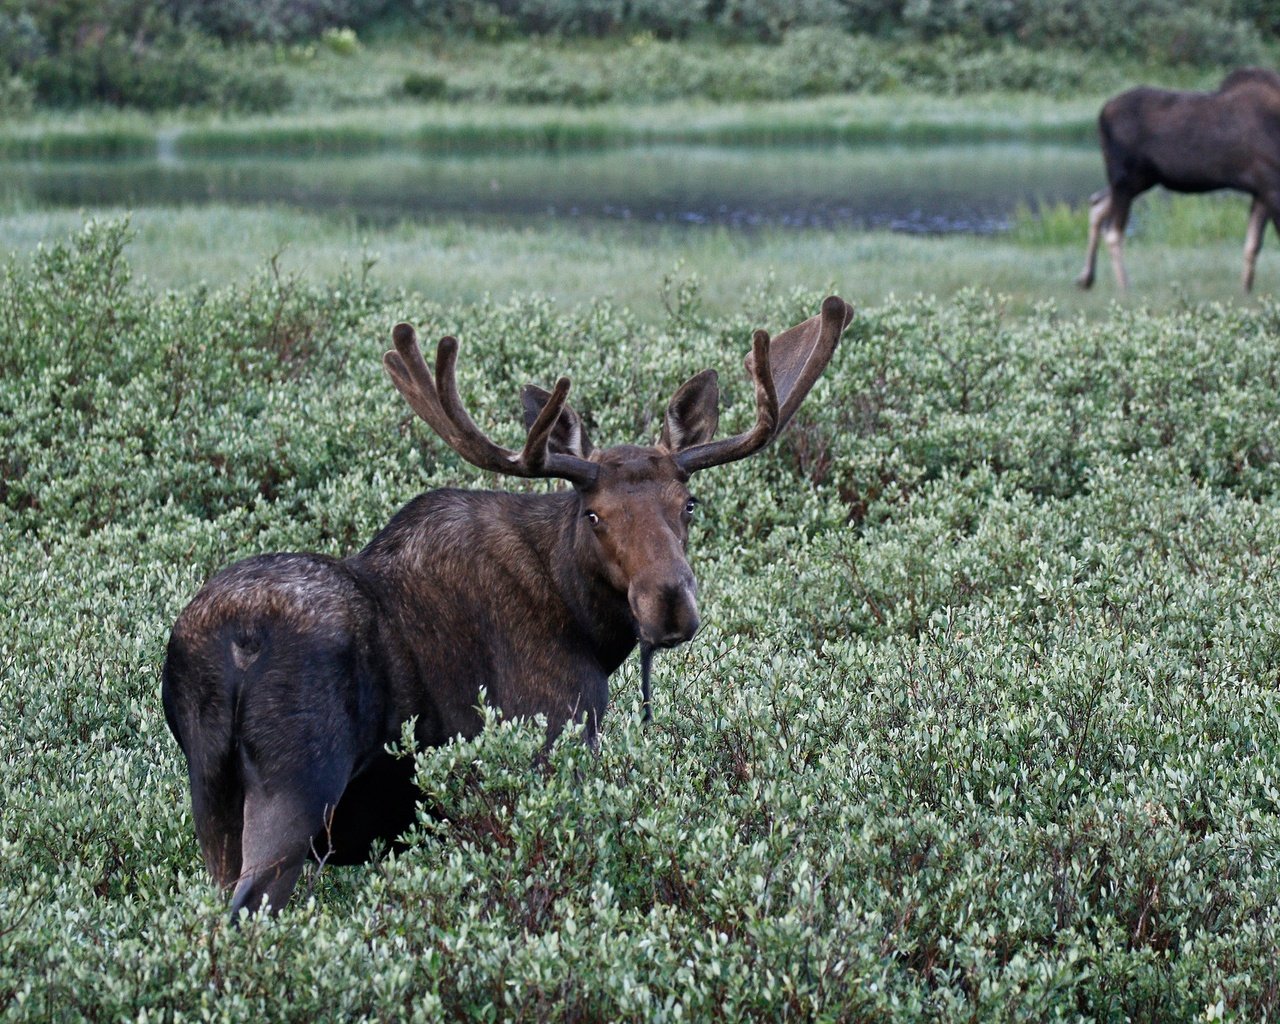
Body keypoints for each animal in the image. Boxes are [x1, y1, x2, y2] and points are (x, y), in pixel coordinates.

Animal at [165, 294, 855, 911]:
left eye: (689, 504)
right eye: (595, 514)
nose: (671, 606)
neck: (589, 628)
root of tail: (229, 650)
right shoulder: (556, 731)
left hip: (212, 799)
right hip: (300, 786)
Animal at [1075, 67, 1280, 291]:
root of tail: (1102, 114)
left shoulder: (1261, 189)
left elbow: (1252, 245)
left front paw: (1245, 291)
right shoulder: (1270, 185)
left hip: (1140, 179)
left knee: (1097, 203)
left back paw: (1086, 278)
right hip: (1126, 178)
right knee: (1113, 231)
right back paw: (1124, 288)